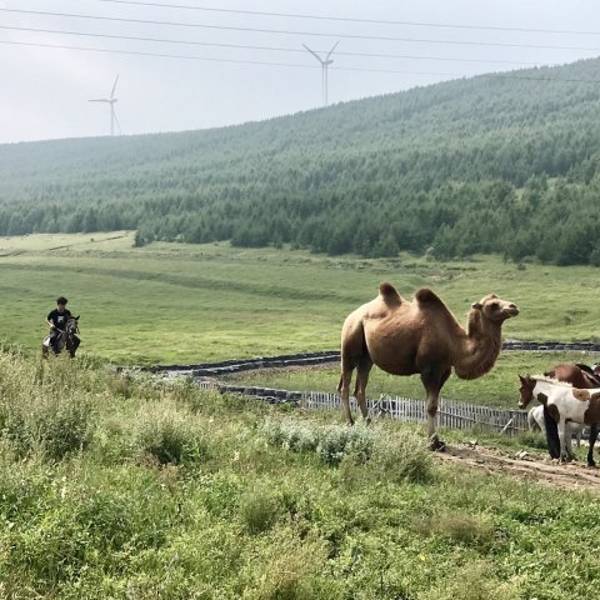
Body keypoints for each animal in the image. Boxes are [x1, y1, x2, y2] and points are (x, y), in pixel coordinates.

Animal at [338, 284, 519, 449]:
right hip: (350, 342)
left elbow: (435, 405)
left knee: (360, 387)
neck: (454, 344)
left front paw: (437, 441)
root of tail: (351, 316)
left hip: (367, 357)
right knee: (345, 384)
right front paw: (433, 442)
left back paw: (368, 423)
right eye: (493, 305)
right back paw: (350, 422)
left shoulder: (444, 371)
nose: (514, 307)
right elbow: (430, 406)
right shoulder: (429, 370)